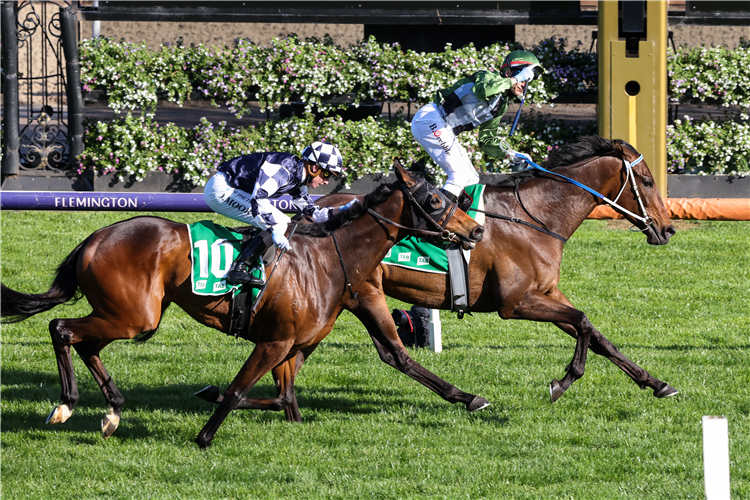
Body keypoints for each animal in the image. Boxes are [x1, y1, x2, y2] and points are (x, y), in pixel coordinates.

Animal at [0, 165, 488, 450]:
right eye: (435, 201)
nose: (477, 231)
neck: (328, 257)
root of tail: (94, 237)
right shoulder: (275, 342)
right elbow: (239, 391)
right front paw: (204, 436)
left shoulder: (294, 345)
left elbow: (284, 398)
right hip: (134, 316)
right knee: (62, 328)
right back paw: (68, 404)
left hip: (128, 316)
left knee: (82, 341)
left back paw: (112, 409)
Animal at [268, 136, 680, 418]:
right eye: (647, 181)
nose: (668, 228)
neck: (536, 216)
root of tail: (308, 209)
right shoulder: (515, 303)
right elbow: (581, 322)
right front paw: (561, 382)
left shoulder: (547, 292)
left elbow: (595, 334)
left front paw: (657, 383)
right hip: (365, 294)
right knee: (393, 353)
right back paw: (467, 398)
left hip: (342, 299)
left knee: (306, 353)